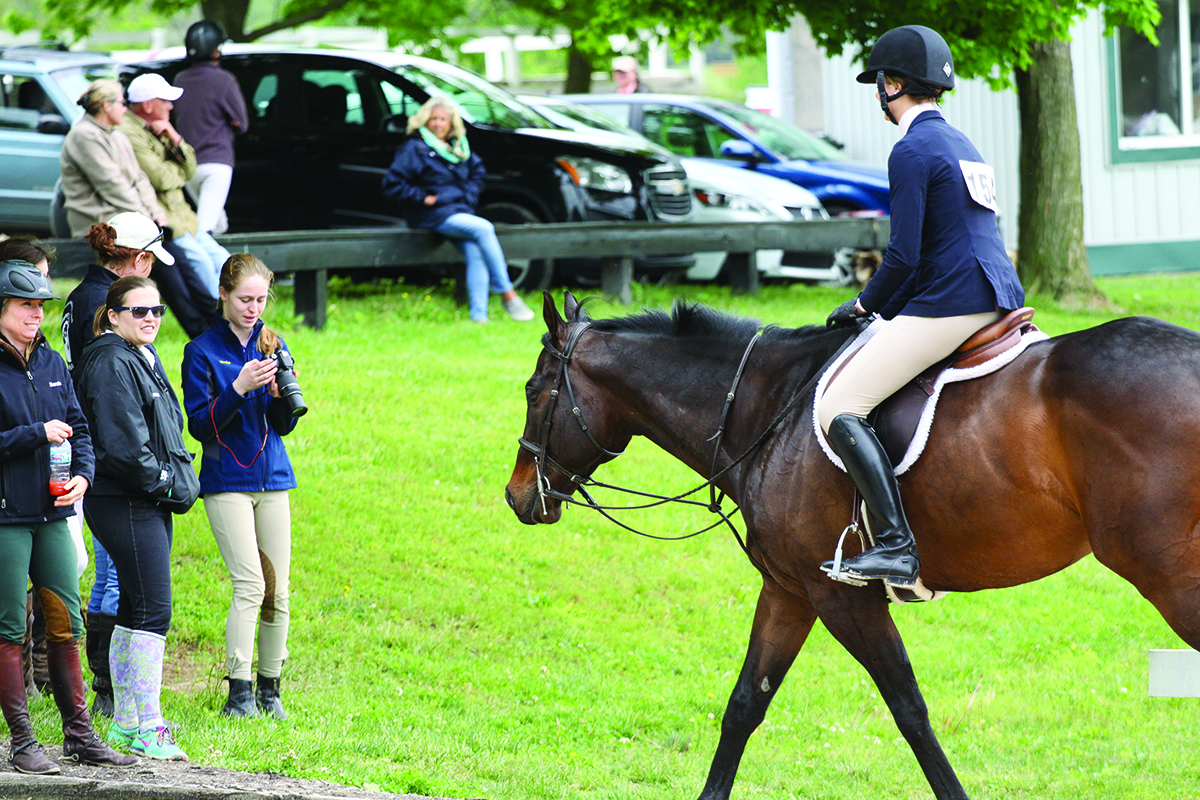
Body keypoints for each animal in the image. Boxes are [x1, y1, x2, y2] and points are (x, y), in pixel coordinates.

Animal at [506, 291, 1200, 796]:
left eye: (533, 391)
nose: (516, 497)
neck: (765, 407)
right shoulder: (789, 590)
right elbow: (744, 705)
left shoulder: (842, 597)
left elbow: (909, 709)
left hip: (1171, 577)